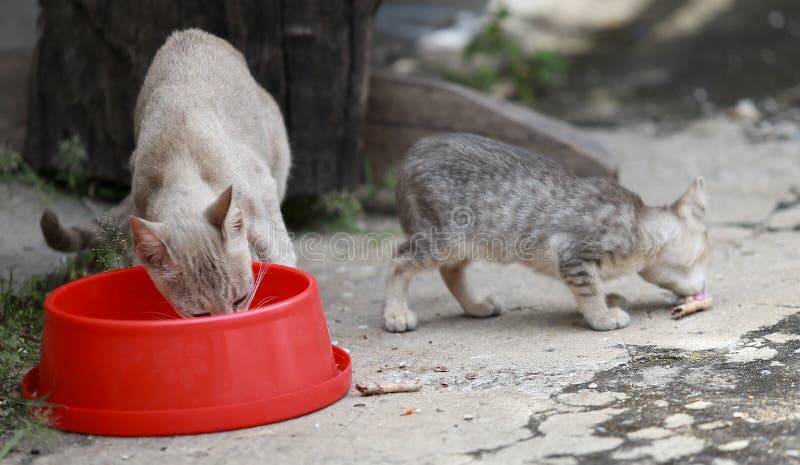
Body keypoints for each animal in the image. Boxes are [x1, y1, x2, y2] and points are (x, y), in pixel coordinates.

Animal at [40, 29, 296, 318]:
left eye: (241, 299)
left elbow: (282, 258)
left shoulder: (262, 209)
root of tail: (191, 33)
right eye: (199, 315)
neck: (178, 163)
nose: (228, 324)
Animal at [384, 132, 708, 332]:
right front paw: (602, 315)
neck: (638, 223)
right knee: (399, 261)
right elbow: (589, 290)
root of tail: (413, 153)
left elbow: (594, 287)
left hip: (470, 241)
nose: (705, 286)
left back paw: (475, 306)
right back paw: (395, 313)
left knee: (451, 271)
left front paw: (609, 299)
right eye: (704, 259)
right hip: (444, 238)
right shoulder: (573, 255)